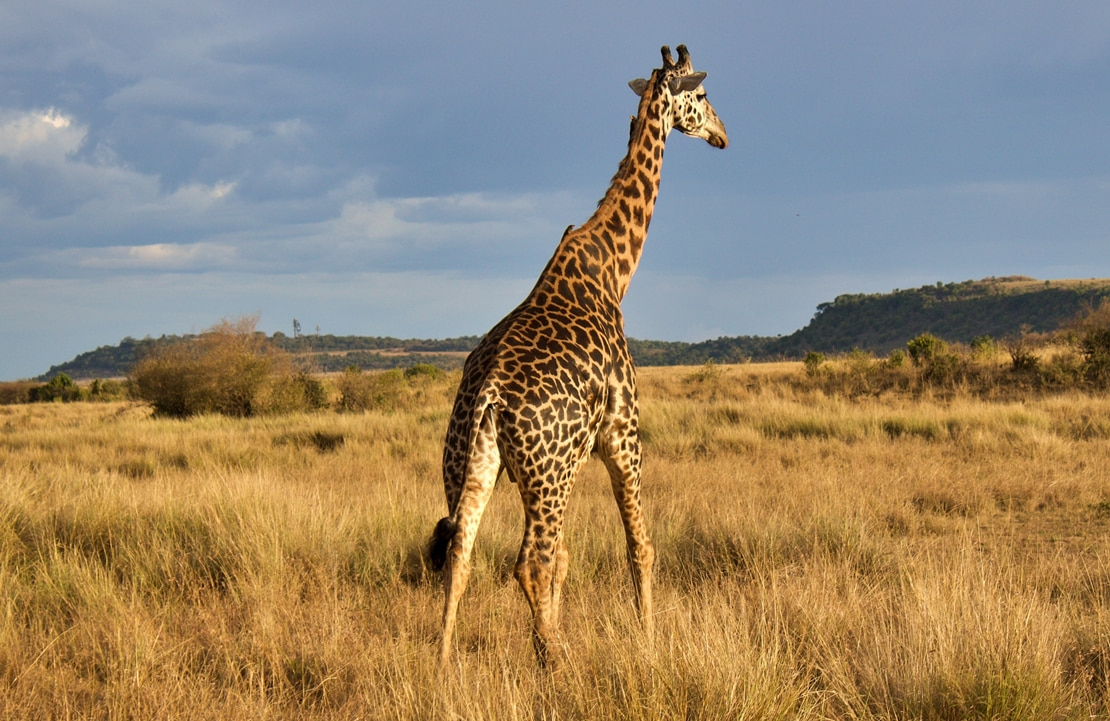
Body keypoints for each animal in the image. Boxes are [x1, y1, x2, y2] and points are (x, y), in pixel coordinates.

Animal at [426, 43, 728, 661]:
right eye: (705, 93)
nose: (722, 135)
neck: (613, 270)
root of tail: (489, 396)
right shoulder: (622, 434)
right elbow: (641, 546)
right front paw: (649, 641)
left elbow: (569, 559)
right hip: (548, 474)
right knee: (530, 562)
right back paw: (556, 662)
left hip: (475, 463)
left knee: (462, 550)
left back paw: (445, 662)